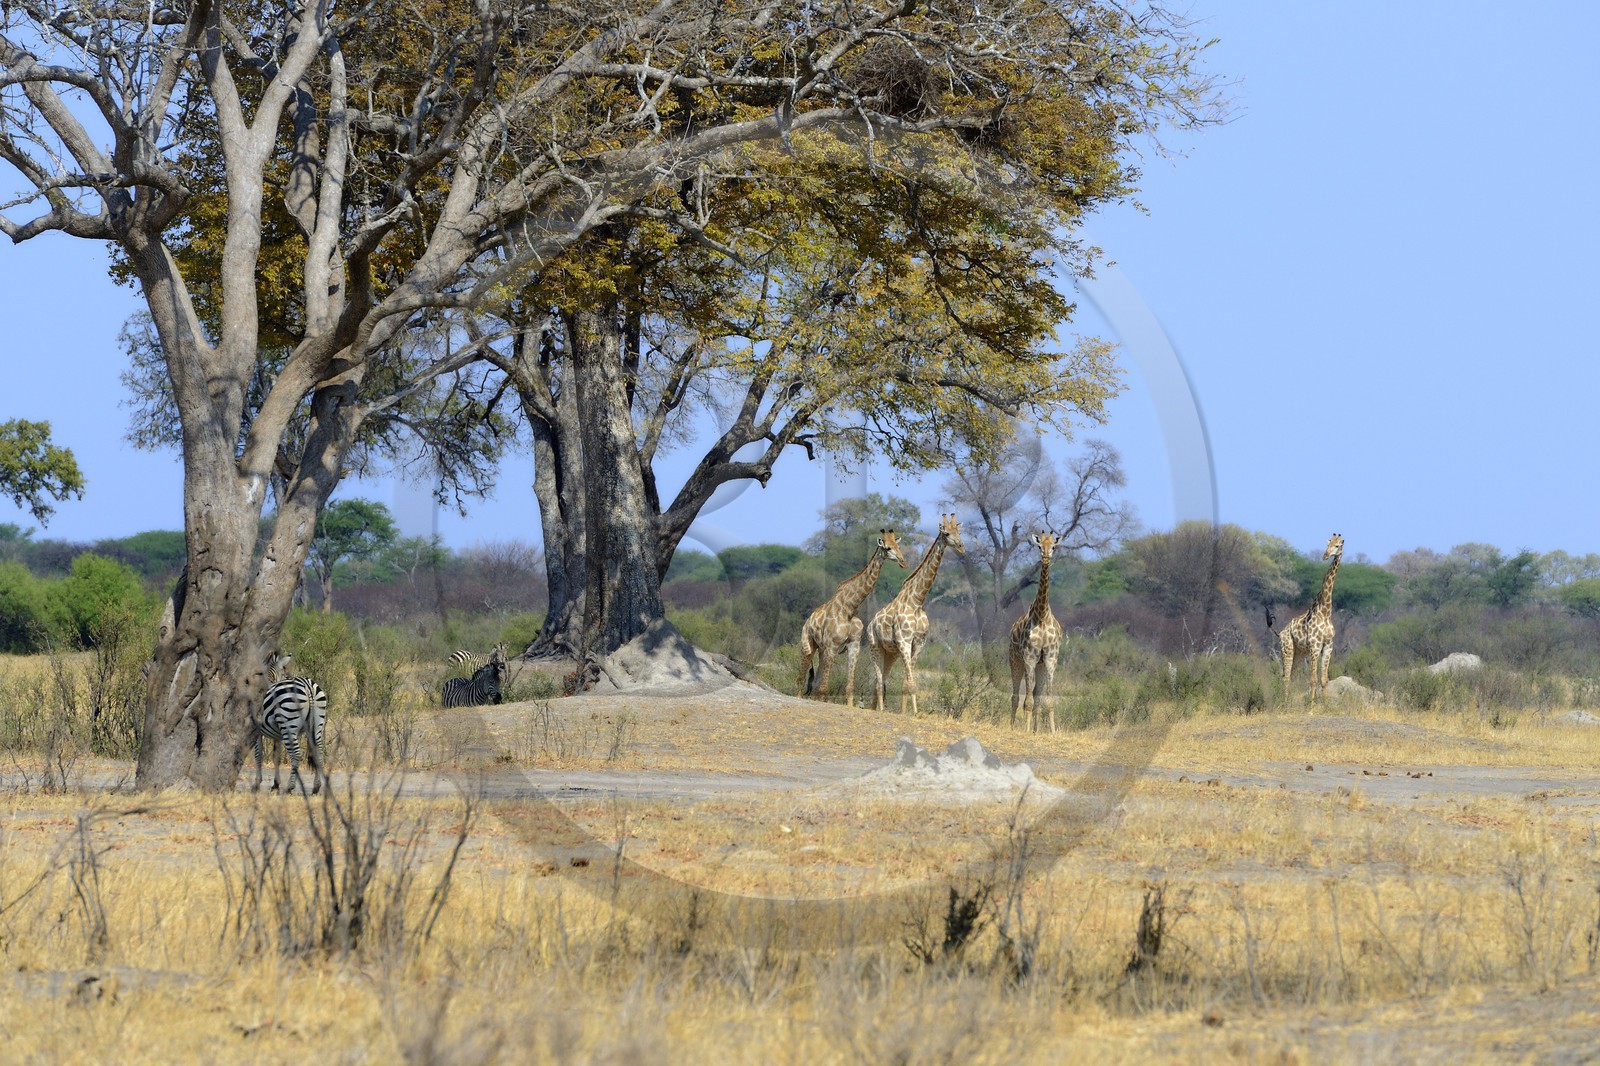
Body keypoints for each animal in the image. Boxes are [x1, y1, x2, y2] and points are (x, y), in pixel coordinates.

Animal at [797, 529, 910, 705]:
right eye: (888, 548)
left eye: (898, 546)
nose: (903, 562)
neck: (850, 607)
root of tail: (808, 621)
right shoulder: (832, 647)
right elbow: (824, 688)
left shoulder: (853, 645)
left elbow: (849, 687)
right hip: (808, 646)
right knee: (801, 680)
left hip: (822, 651)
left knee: (814, 684)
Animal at [867, 514, 965, 714]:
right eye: (947, 533)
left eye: (959, 531)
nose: (961, 547)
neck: (917, 601)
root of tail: (870, 623)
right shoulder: (904, 641)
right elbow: (911, 683)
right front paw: (915, 713)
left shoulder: (919, 642)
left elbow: (907, 682)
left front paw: (906, 712)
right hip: (874, 646)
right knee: (879, 681)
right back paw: (880, 710)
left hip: (890, 652)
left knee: (881, 680)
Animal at [1009, 532, 1065, 733]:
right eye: (1039, 546)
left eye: (1053, 546)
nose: (1046, 558)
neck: (1041, 615)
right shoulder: (1029, 657)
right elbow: (1028, 700)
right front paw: (1025, 731)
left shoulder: (1050, 659)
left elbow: (1047, 699)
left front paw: (1052, 732)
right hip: (1014, 660)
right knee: (1016, 696)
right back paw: (1013, 727)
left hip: (1040, 666)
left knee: (1036, 695)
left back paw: (1035, 729)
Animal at [1279, 533, 1344, 701]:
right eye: (1328, 543)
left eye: (1337, 545)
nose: (1325, 555)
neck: (1325, 611)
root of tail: (1281, 632)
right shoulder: (1315, 646)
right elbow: (1313, 679)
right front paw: (1312, 704)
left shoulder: (1328, 646)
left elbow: (1324, 679)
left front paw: (1325, 703)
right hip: (1287, 648)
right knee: (1285, 676)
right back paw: (1283, 703)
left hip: (1299, 652)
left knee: (1290, 675)